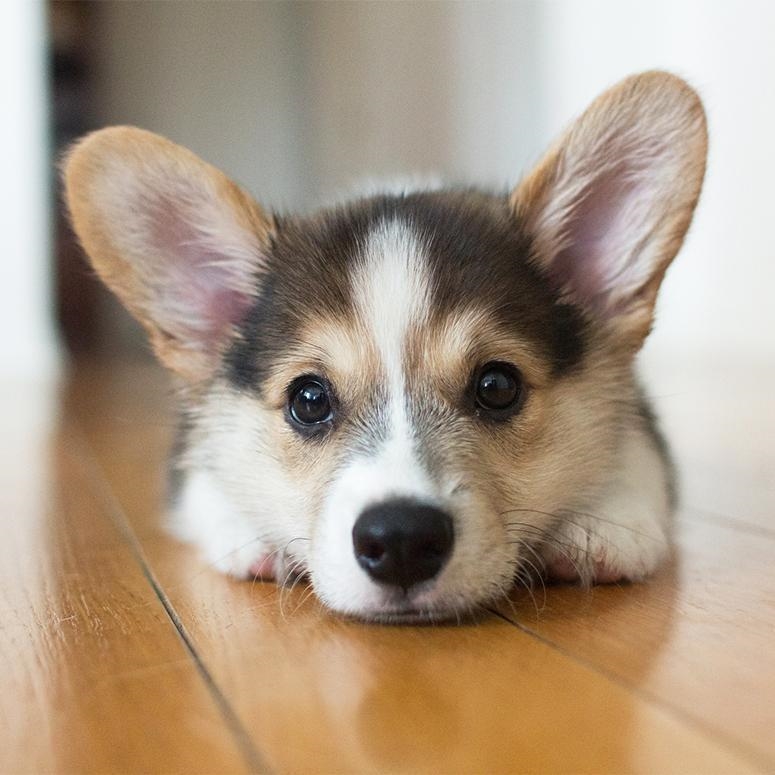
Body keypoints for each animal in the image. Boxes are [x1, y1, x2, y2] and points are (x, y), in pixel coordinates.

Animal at [65, 73, 708, 624]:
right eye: (308, 399)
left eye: (498, 386)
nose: (401, 539)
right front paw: (256, 535)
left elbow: (636, 461)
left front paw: (602, 524)